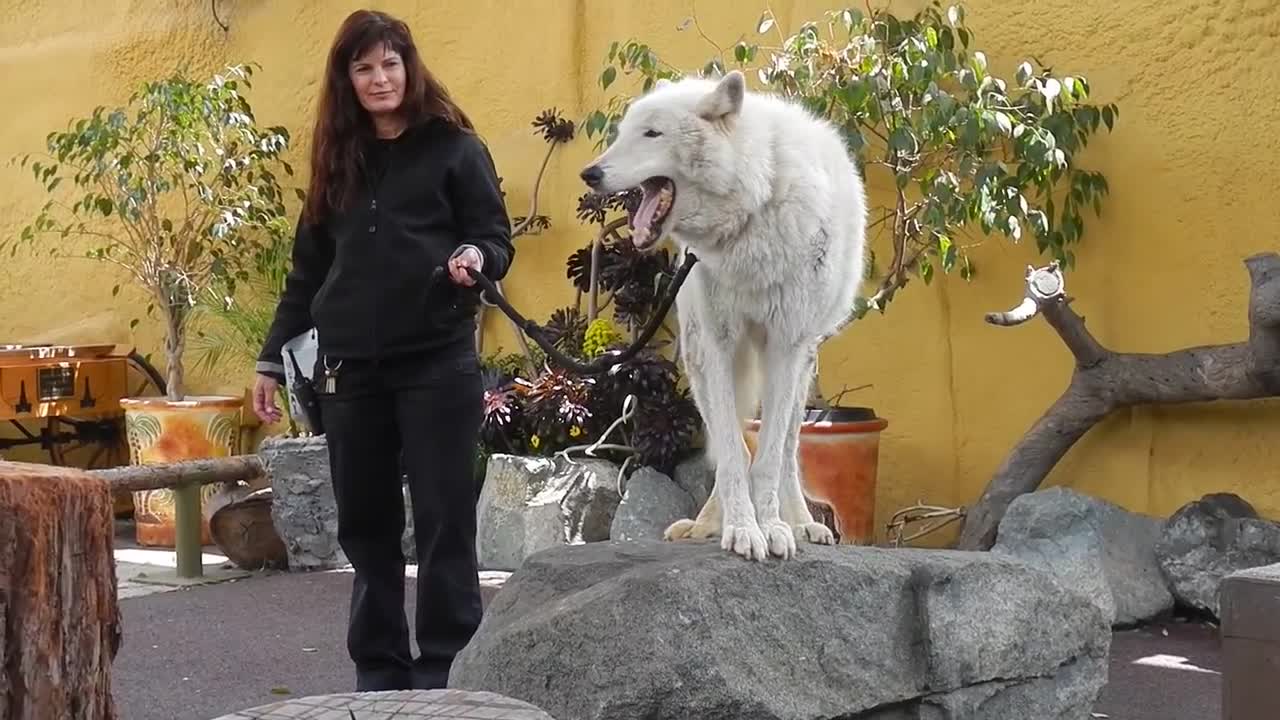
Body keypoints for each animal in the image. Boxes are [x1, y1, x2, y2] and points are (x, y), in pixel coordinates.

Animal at [583, 68, 870, 561]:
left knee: (789, 446)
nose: (590, 173)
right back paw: (706, 524)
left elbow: (770, 457)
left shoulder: (785, 347)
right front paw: (740, 529)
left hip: (802, 361)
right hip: (700, 358)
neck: (752, 213)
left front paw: (774, 528)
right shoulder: (717, 347)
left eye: (652, 133)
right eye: (620, 134)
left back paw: (801, 523)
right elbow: (735, 456)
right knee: (728, 437)